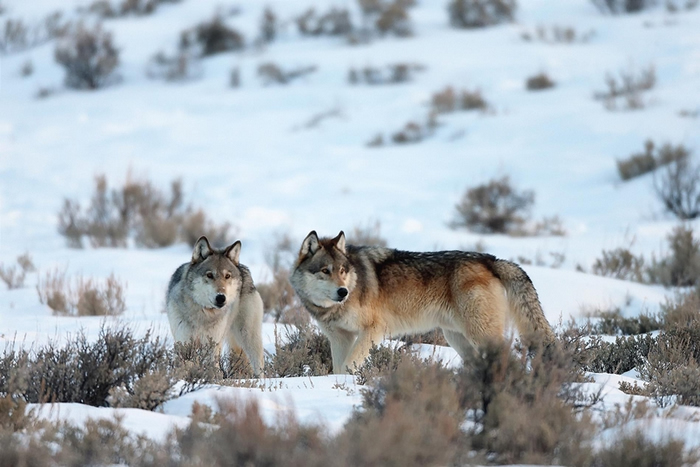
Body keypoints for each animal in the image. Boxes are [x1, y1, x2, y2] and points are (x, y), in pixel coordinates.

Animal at [167, 238, 266, 376]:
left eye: (227, 276)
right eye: (209, 275)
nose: (221, 298)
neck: (204, 313)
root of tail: (242, 267)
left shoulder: (212, 346)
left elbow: (212, 370)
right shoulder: (184, 343)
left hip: (248, 336)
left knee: (259, 365)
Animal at [288, 232, 552, 374]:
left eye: (342, 271)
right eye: (325, 271)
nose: (343, 291)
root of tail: (490, 259)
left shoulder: (373, 330)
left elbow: (349, 366)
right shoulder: (340, 338)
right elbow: (338, 368)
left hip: (478, 335)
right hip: (457, 338)